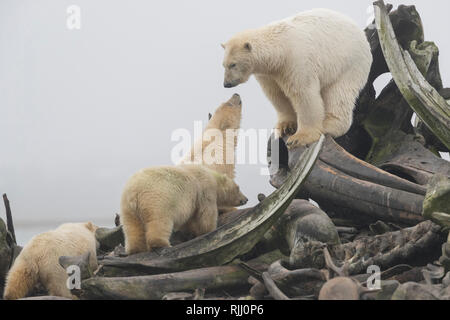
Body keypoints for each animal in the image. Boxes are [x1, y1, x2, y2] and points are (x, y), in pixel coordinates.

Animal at [119, 164, 248, 254]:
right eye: (238, 188)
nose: (246, 199)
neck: (211, 176)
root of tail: (134, 193)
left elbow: (189, 219)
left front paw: (191, 232)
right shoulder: (205, 190)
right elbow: (206, 214)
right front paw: (208, 230)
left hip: (127, 208)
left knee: (132, 228)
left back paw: (136, 249)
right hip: (157, 201)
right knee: (159, 222)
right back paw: (161, 244)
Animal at [221, 8, 372, 148]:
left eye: (233, 64)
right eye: (223, 65)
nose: (226, 84)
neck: (280, 49)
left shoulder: (296, 62)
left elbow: (303, 94)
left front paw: (299, 137)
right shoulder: (268, 73)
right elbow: (276, 94)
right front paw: (285, 126)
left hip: (348, 65)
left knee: (339, 94)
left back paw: (328, 125)